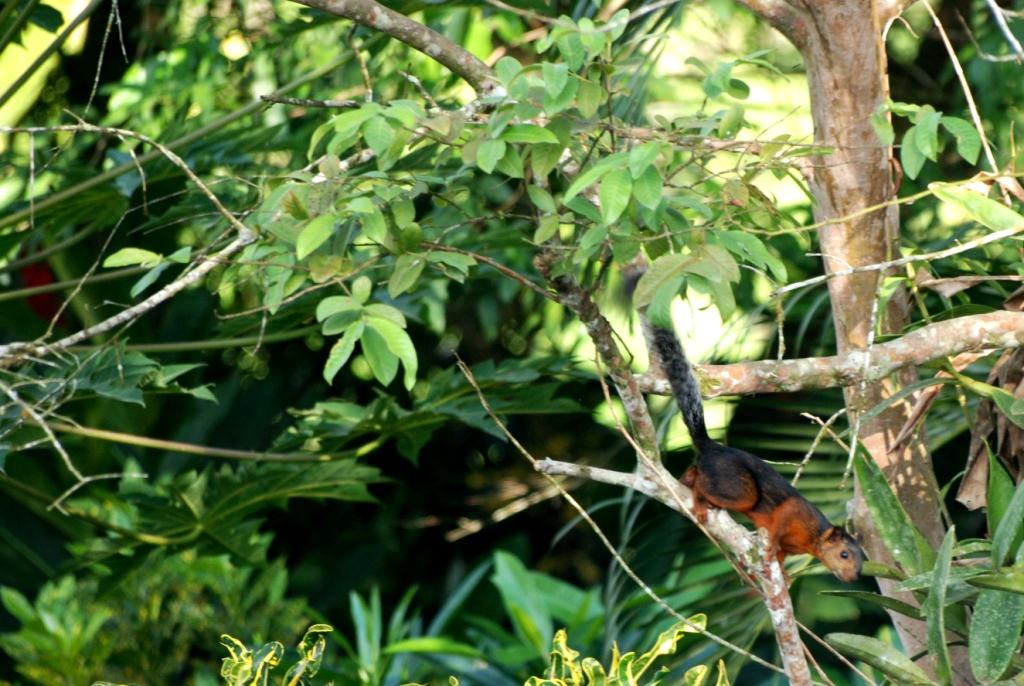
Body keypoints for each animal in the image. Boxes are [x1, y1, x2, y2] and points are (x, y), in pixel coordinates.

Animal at [626, 264, 864, 583]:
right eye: (844, 554)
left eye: (861, 562)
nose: (853, 579)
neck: (813, 540)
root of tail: (712, 447)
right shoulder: (797, 512)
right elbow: (780, 522)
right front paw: (772, 546)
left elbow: (781, 555)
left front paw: (783, 575)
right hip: (738, 488)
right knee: (711, 487)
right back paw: (698, 497)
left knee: (695, 471)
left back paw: (687, 480)